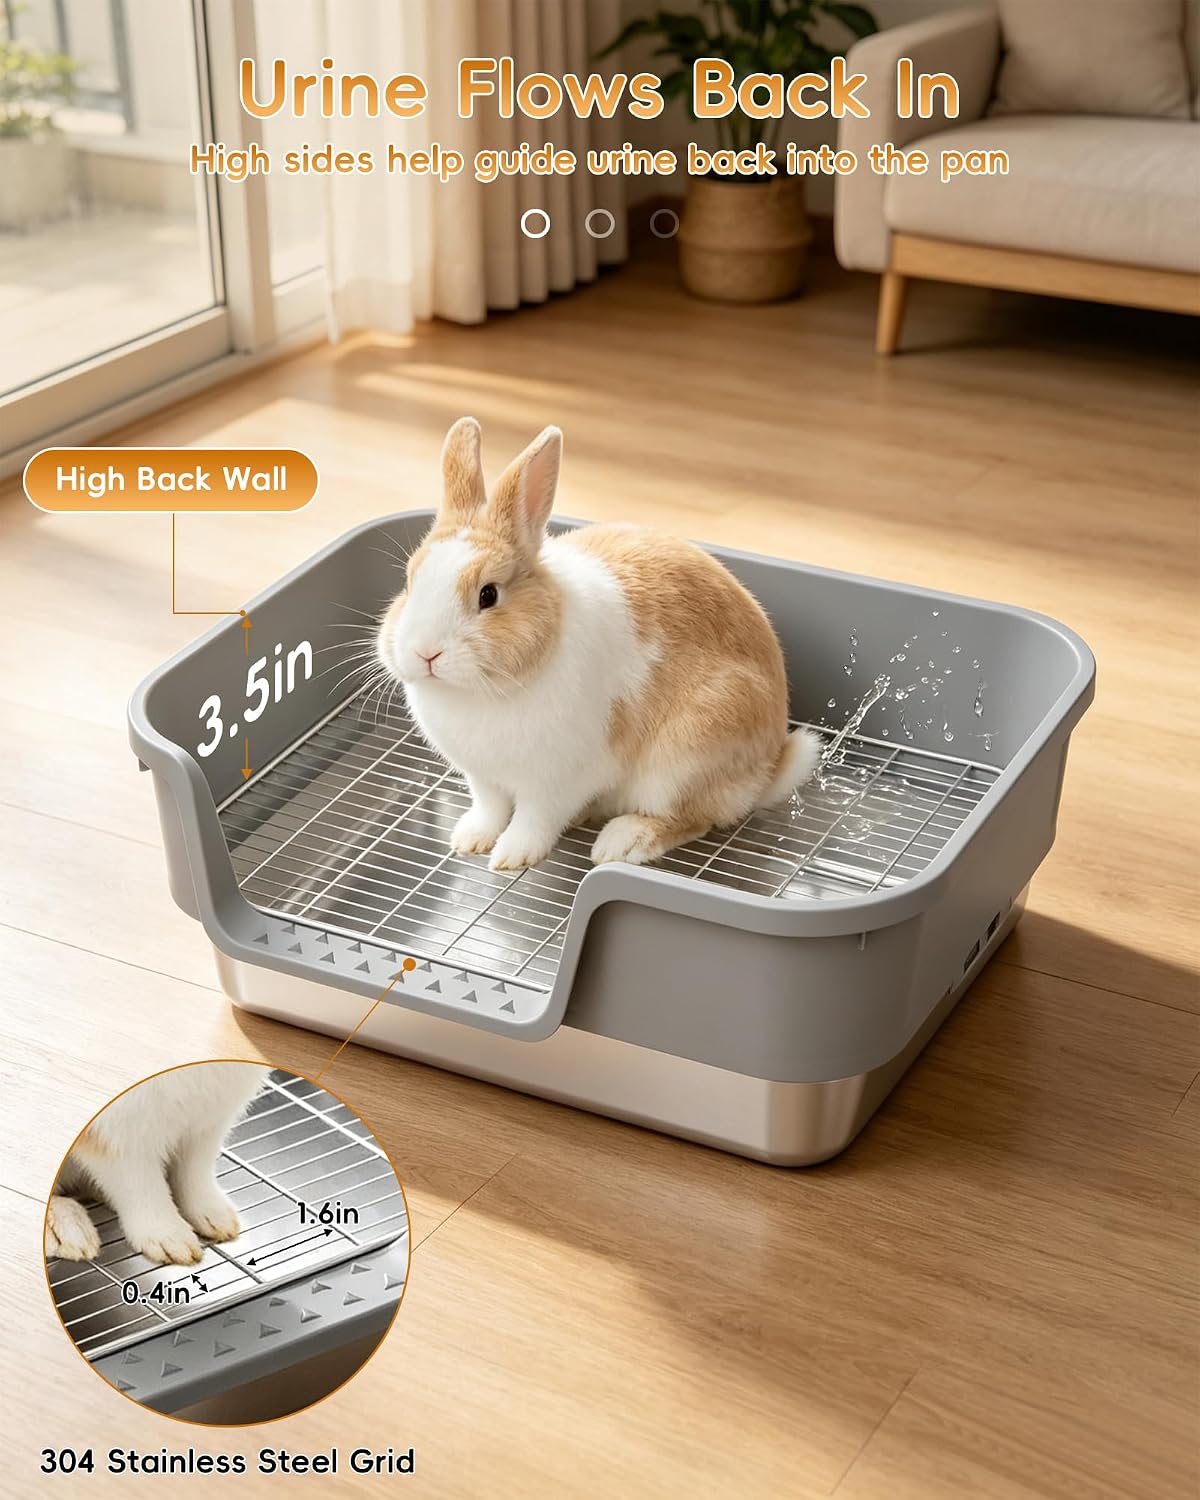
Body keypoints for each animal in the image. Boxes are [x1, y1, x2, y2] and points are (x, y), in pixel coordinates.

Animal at [44, 1062, 269, 1267]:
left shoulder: (205, 1125)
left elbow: (194, 1174)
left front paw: (217, 1219)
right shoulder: (119, 1138)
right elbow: (141, 1187)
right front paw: (173, 1242)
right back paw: (67, 1230)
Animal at [376, 417, 819, 873]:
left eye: (488, 595)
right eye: (409, 582)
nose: (425, 653)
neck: (478, 693)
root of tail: (769, 767)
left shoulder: (557, 781)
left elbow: (534, 819)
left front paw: (512, 857)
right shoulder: (483, 778)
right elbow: (490, 809)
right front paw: (469, 840)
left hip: (686, 757)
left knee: (693, 819)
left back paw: (621, 843)